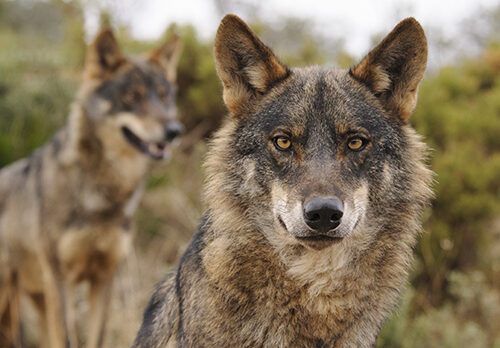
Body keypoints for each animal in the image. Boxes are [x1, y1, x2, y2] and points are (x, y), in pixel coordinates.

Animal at [0, 29, 184, 348]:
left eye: (163, 97)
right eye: (131, 97)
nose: (174, 131)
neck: (103, 196)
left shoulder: (104, 278)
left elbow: (95, 337)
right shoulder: (60, 279)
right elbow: (67, 339)